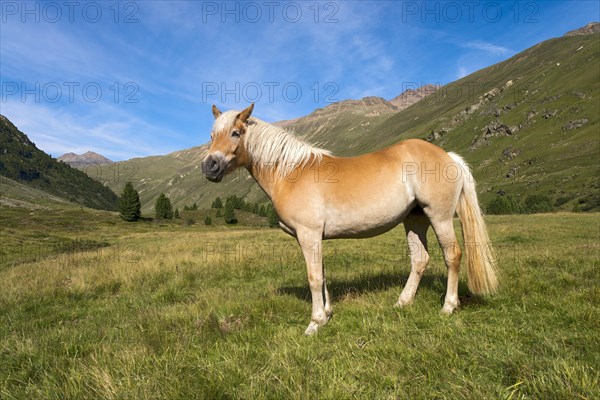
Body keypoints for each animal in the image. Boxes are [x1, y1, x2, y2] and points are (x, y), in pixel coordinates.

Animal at [202, 103, 496, 334]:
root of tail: (448, 156)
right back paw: (402, 302)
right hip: (415, 219)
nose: (209, 166)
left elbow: (314, 277)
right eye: (212, 135)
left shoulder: (309, 235)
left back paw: (448, 306)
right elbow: (321, 274)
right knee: (420, 260)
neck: (290, 172)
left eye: (236, 132)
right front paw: (327, 315)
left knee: (452, 255)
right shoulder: (311, 238)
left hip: (439, 217)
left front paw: (314, 323)